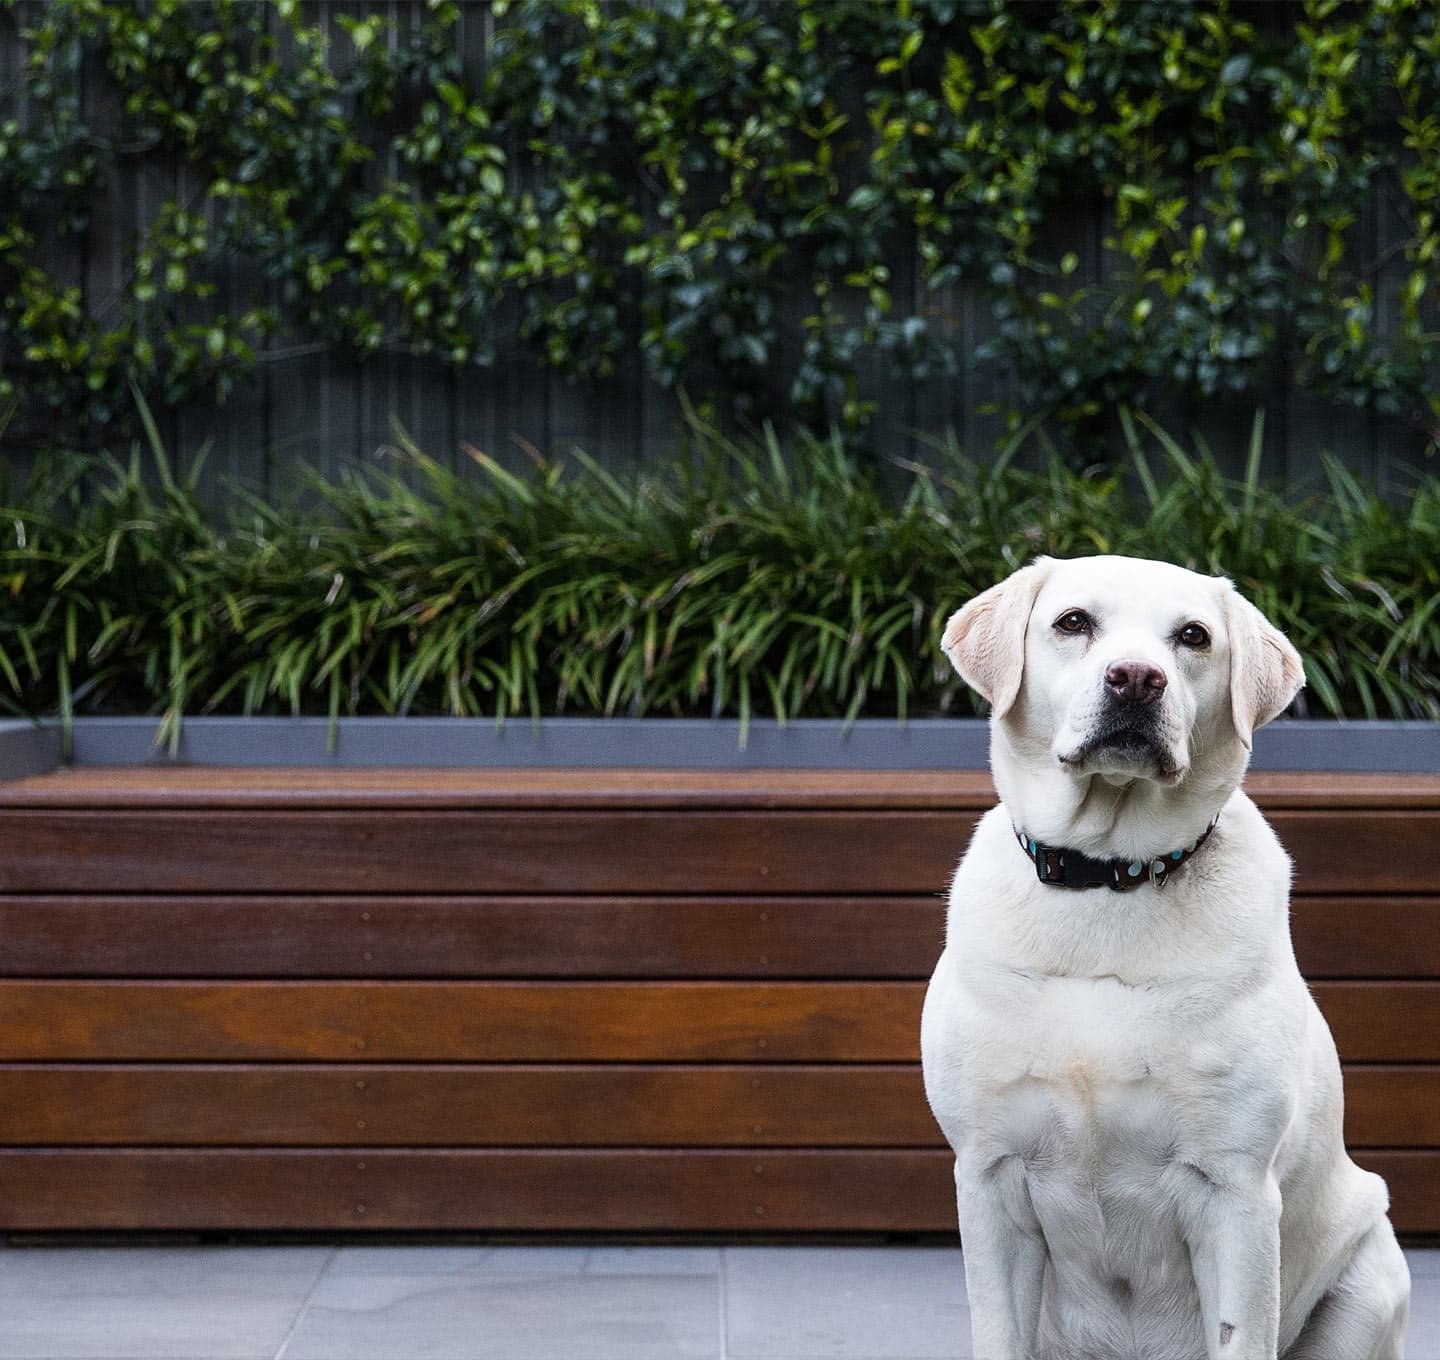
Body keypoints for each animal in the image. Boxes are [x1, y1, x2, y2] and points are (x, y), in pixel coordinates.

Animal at [920, 554, 1409, 1360]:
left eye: (1193, 636)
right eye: (1073, 622)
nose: (1135, 679)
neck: (1108, 878)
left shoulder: (1235, 1193)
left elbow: (1239, 1332)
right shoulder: (990, 1179)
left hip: (1371, 1275)